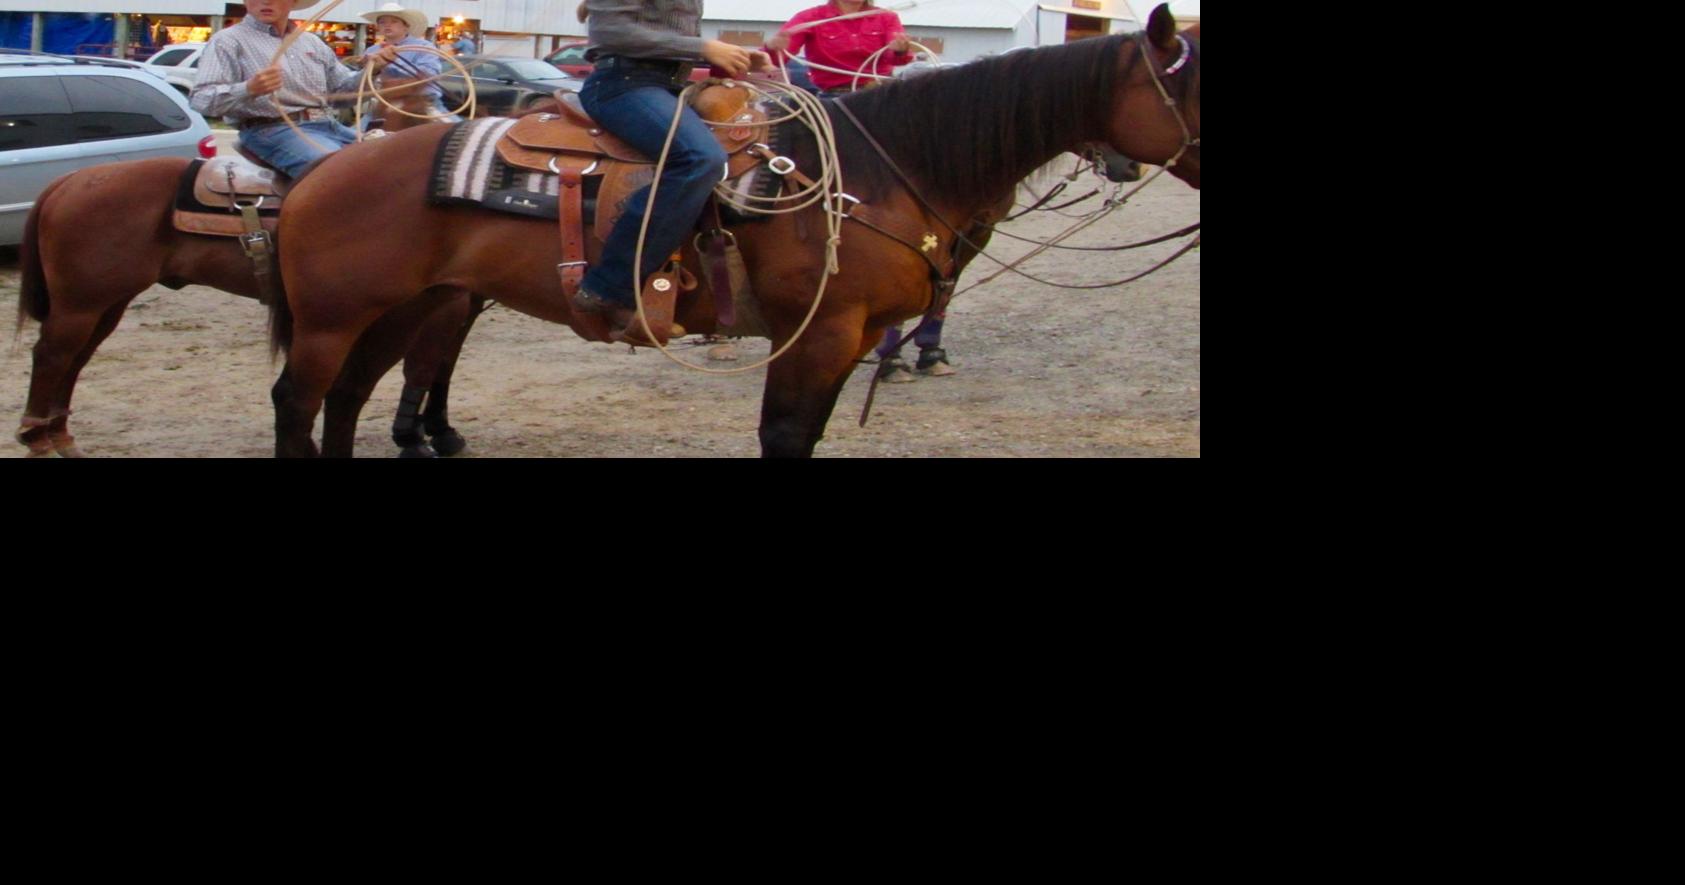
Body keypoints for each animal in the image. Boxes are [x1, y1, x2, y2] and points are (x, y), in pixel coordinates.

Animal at [14, 110, 481, 458]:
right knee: (52, 355)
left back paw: (60, 436)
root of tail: (71, 180)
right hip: (80, 303)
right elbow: (428, 367)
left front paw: (435, 431)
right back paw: (37, 438)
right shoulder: (444, 304)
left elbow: (440, 366)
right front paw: (421, 437)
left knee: (76, 358)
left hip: (107, 302)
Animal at [266, 6, 1199, 458]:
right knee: (298, 402)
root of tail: (332, 168)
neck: (884, 170)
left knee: (347, 399)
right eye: (1191, 85)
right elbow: (783, 437)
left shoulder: (850, 336)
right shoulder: (817, 333)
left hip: (408, 306)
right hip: (335, 317)